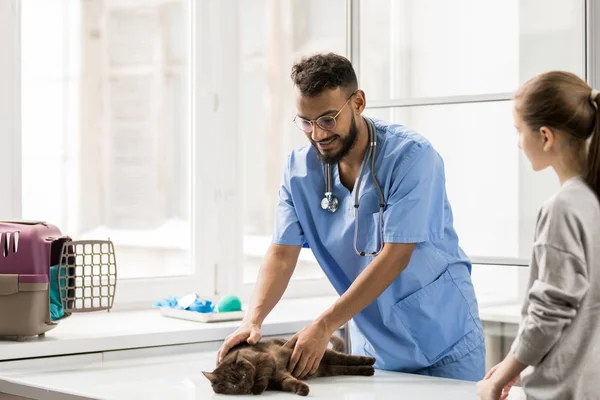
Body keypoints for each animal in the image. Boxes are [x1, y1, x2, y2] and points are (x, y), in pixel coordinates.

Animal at [203, 334, 376, 396]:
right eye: (232, 386)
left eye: (244, 375)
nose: (245, 387)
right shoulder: (281, 379)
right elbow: (291, 382)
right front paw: (302, 390)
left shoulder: (267, 360)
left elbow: (262, 375)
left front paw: (257, 389)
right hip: (329, 369)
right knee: (344, 367)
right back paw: (368, 371)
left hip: (327, 355)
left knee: (345, 358)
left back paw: (370, 360)